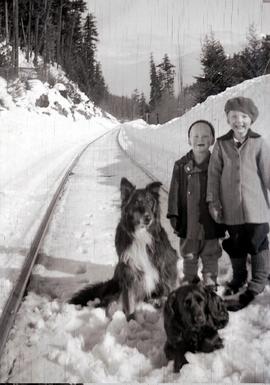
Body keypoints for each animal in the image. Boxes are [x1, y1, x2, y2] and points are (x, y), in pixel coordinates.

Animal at [70, 177, 179, 318]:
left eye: (150, 202)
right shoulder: (129, 271)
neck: (141, 235)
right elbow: (129, 304)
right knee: (110, 301)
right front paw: (130, 319)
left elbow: (169, 289)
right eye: (137, 202)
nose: (148, 218)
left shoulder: (167, 264)